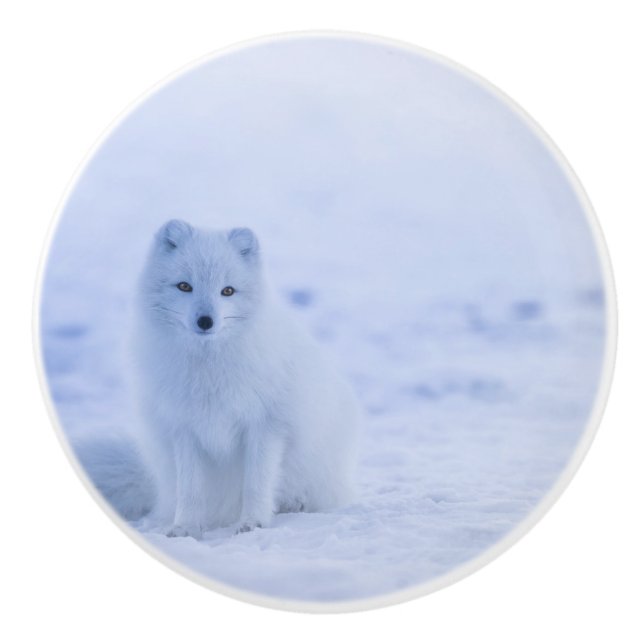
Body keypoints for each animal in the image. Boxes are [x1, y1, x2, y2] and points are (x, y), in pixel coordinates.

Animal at [77, 219, 360, 538]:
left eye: (228, 291)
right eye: (184, 286)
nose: (205, 321)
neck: (208, 368)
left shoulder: (266, 426)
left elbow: (256, 483)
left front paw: (253, 523)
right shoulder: (183, 429)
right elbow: (190, 489)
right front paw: (185, 528)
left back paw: (295, 504)